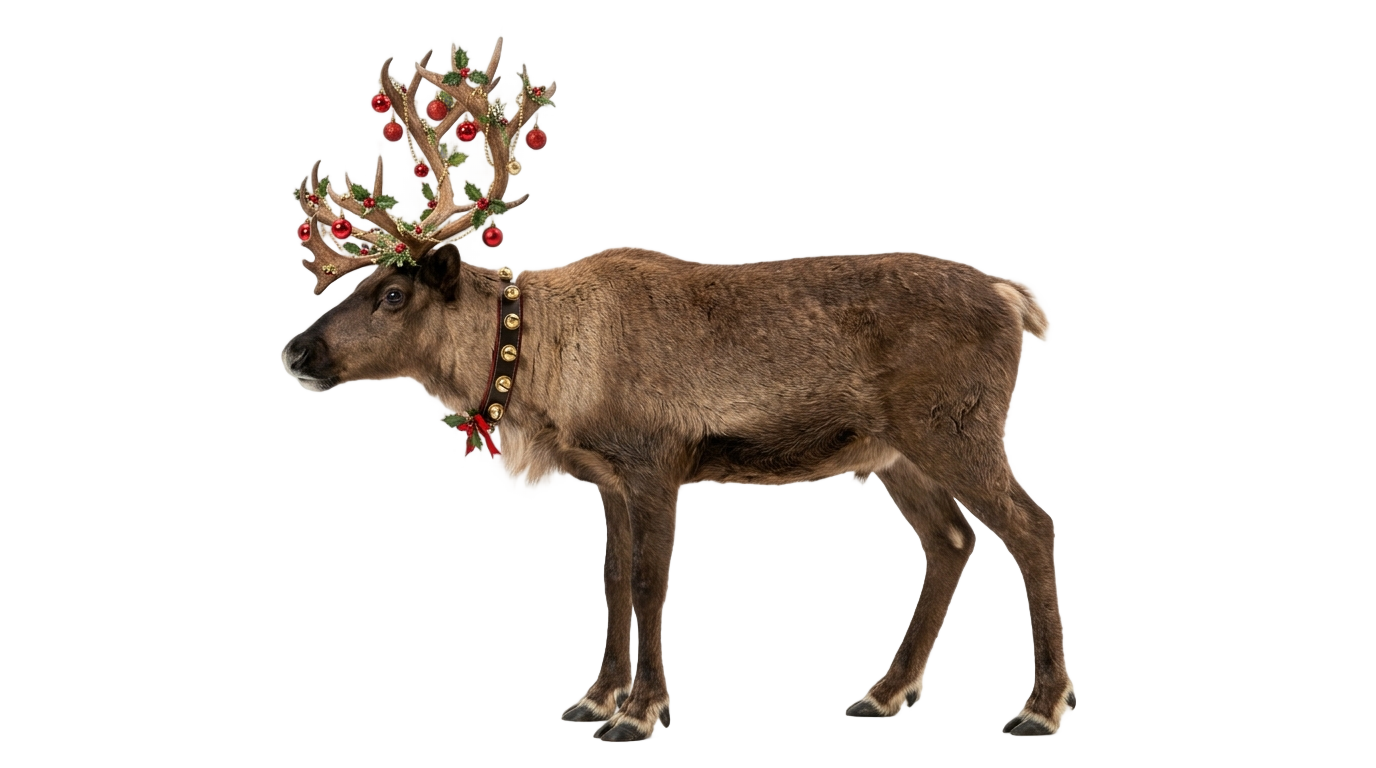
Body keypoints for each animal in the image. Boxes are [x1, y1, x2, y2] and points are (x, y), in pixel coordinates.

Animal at [281, 38, 1082, 742]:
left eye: (392, 294)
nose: (295, 349)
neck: (549, 376)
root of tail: (1012, 296)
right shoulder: (602, 476)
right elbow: (608, 581)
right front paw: (596, 699)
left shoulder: (654, 461)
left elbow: (647, 583)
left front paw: (640, 712)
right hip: (893, 454)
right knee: (951, 540)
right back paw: (884, 694)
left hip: (954, 428)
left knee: (1032, 526)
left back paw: (1040, 707)